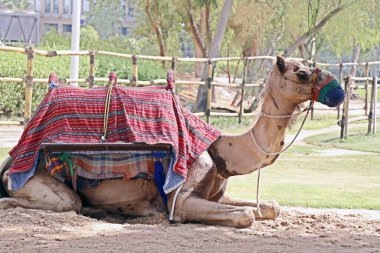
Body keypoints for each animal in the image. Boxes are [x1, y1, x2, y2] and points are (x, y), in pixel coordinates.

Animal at [0, 56, 344, 228]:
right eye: (302, 73)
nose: (338, 91)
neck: (220, 151)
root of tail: (10, 161)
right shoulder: (181, 199)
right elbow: (246, 216)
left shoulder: (217, 194)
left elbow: (271, 207)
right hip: (34, 180)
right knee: (62, 203)